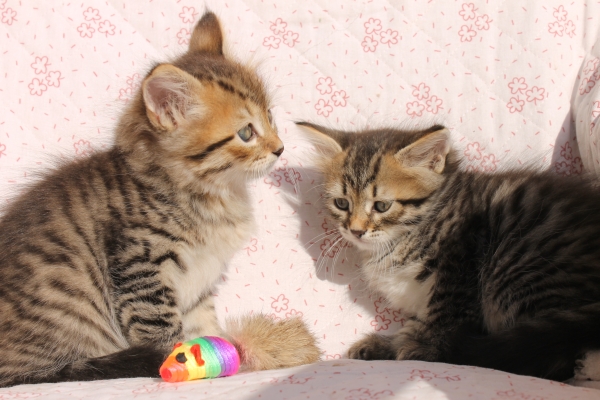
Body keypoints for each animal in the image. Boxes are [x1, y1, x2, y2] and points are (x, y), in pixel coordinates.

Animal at [0, 12, 321, 388]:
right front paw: (177, 362)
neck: (210, 193)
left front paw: (220, 355)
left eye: (270, 117)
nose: (280, 148)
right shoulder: (141, 266)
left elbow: (204, 323)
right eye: (246, 133)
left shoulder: (198, 281)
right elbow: (163, 329)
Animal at [298, 121, 600, 381]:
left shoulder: (460, 262)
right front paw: (386, 346)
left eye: (382, 206)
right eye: (342, 203)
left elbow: (444, 319)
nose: (356, 231)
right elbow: (416, 323)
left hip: (519, 268)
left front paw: (425, 350)